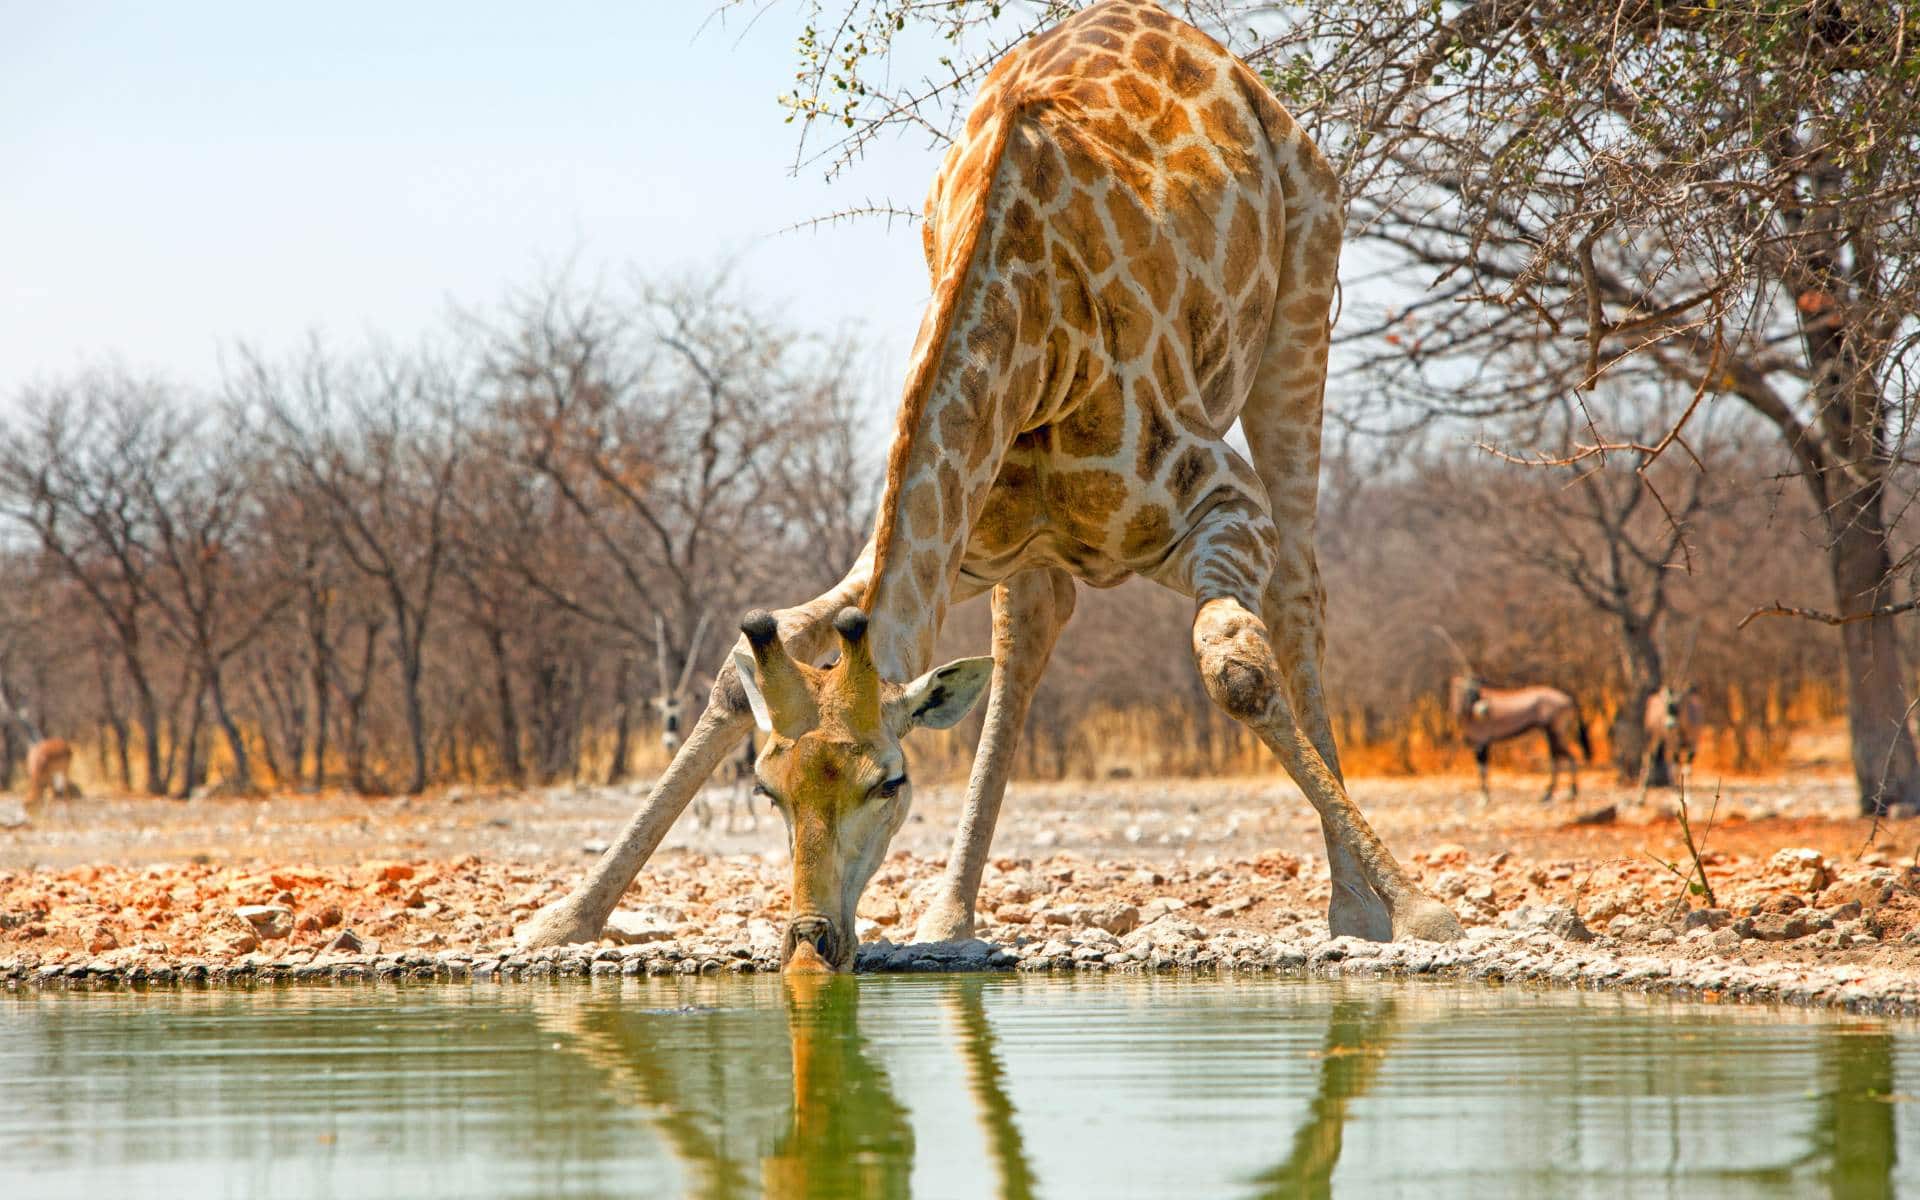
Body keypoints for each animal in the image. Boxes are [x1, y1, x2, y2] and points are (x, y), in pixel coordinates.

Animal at [519, 0, 1462, 966]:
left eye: (891, 783)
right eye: (767, 789)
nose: (814, 942)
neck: (1032, 336)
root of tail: (1232, 68)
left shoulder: (1220, 503)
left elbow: (1236, 669)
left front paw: (1422, 912)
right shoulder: (955, 543)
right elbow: (736, 666)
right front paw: (565, 917)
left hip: (1304, 301)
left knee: (1301, 593)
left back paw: (1354, 909)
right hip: (1031, 543)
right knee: (1031, 630)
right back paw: (950, 913)